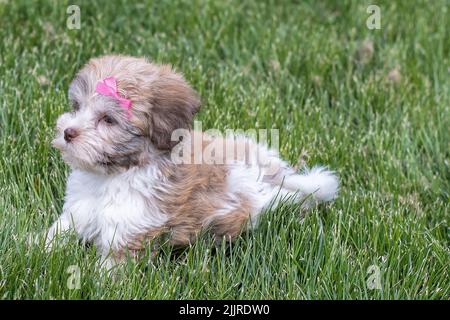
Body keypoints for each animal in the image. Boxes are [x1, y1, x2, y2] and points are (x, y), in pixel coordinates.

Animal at [47, 55, 340, 268]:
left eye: (108, 120)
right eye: (77, 107)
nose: (68, 132)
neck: (114, 174)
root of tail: (271, 174)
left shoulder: (131, 226)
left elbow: (114, 262)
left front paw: (101, 281)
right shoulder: (79, 209)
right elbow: (60, 231)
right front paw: (38, 247)